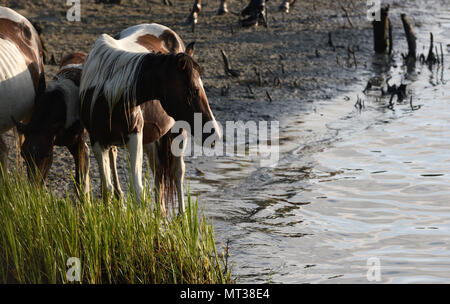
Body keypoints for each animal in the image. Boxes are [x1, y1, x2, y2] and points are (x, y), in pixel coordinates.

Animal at [81, 23, 221, 211]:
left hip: (176, 132)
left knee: (177, 172)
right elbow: (108, 189)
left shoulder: (134, 135)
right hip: (150, 139)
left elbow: (137, 188)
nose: (215, 135)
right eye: (193, 90)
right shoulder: (97, 141)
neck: (108, 93)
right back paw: (160, 212)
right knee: (159, 172)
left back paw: (181, 215)